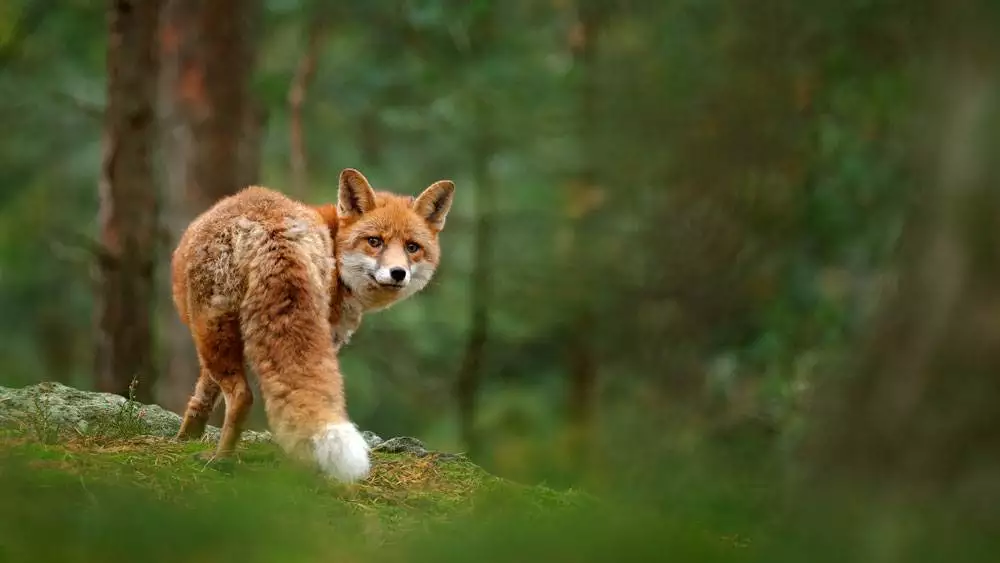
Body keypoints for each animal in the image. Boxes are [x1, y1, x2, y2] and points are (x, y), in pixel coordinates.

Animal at [169, 167, 458, 480]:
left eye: (412, 247)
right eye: (374, 241)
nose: (397, 273)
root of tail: (274, 229)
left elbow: (202, 395)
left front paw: (184, 439)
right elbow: (204, 394)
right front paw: (186, 438)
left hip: (210, 330)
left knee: (242, 397)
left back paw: (221, 459)